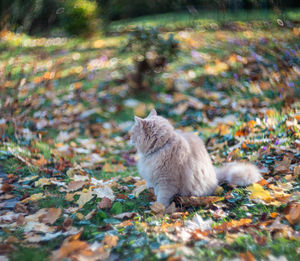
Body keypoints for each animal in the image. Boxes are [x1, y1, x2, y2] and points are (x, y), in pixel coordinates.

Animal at [129, 107, 262, 205]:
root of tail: (215, 175)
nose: (129, 138)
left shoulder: (166, 182)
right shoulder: (157, 180)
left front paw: (158, 208)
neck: (162, 146)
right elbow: (157, 192)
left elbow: (162, 198)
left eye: (133, 133)